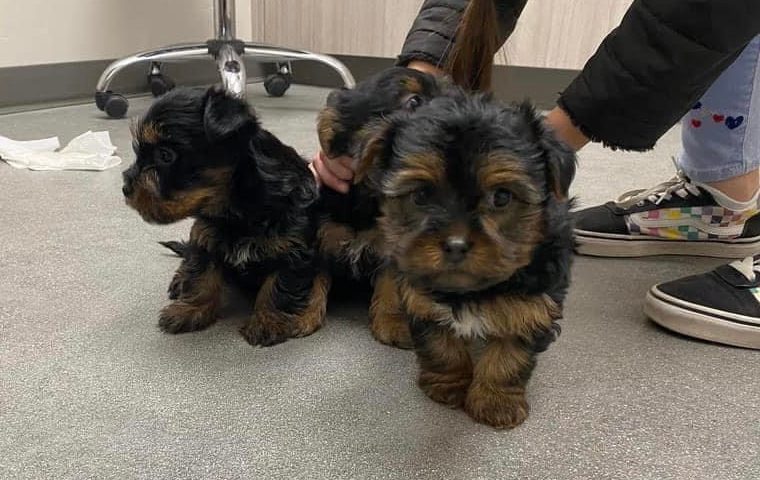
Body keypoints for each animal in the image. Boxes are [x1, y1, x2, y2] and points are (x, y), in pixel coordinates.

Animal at [122, 86, 329, 347]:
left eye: (165, 155)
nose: (125, 188)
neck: (236, 205)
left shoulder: (293, 249)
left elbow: (279, 285)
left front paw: (268, 321)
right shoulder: (205, 236)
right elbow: (201, 275)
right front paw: (189, 310)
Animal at [317, 72, 576, 428]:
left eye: (502, 197)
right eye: (421, 195)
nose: (455, 245)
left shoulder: (535, 300)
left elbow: (511, 352)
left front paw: (496, 402)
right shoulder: (418, 290)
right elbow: (441, 343)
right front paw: (448, 386)